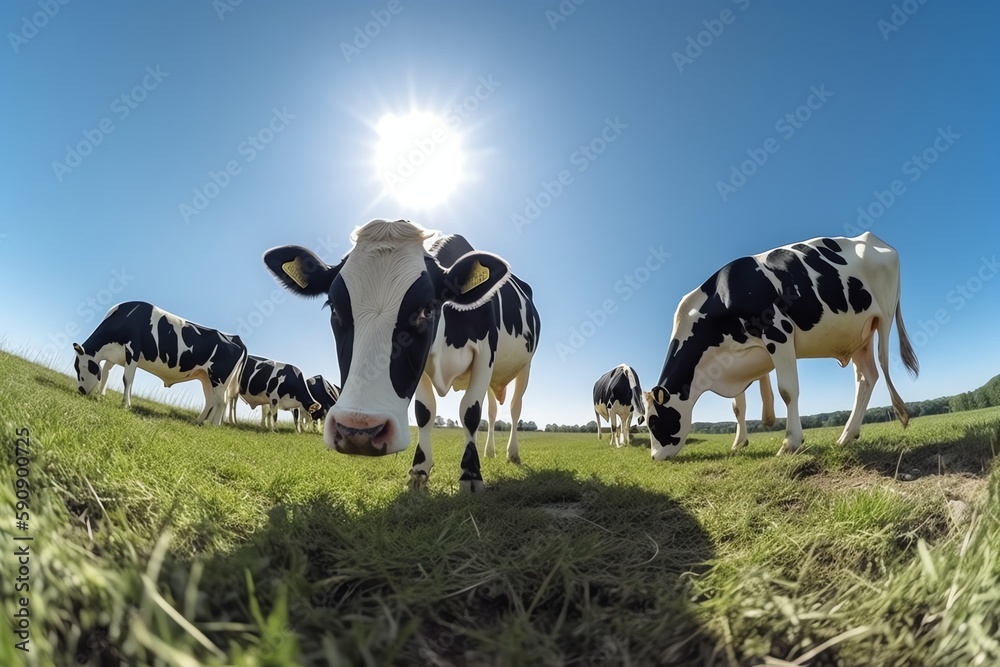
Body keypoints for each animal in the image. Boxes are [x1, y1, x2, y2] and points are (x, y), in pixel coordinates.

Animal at [72, 301, 247, 426]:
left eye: (82, 367)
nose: (80, 390)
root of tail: (235, 338)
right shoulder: (116, 353)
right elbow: (106, 371)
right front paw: (102, 395)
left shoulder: (133, 350)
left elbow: (127, 379)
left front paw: (125, 405)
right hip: (206, 377)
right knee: (211, 399)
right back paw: (198, 421)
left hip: (219, 378)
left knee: (222, 401)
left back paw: (214, 425)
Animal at [263, 218, 541, 492]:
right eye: (333, 307)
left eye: (427, 310)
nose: (358, 432)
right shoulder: (425, 366)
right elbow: (425, 412)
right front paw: (420, 469)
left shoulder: (485, 356)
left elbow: (470, 412)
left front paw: (470, 473)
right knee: (493, 412)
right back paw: (490, 452)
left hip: (525, 367)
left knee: (514, 409)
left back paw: (512, 454)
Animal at [643, 232, 919, 460]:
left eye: (652, 422)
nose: (654, 457)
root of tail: (874, 239)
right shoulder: (734, 357)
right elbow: (738, 406)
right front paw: (739, 443)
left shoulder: (778, 331)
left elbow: (787, 391)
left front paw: (791, 443)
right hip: (860, 334)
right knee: (866, 377)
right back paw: (846, 436)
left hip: (883, 320)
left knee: (882, 367)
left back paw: (897, 416)